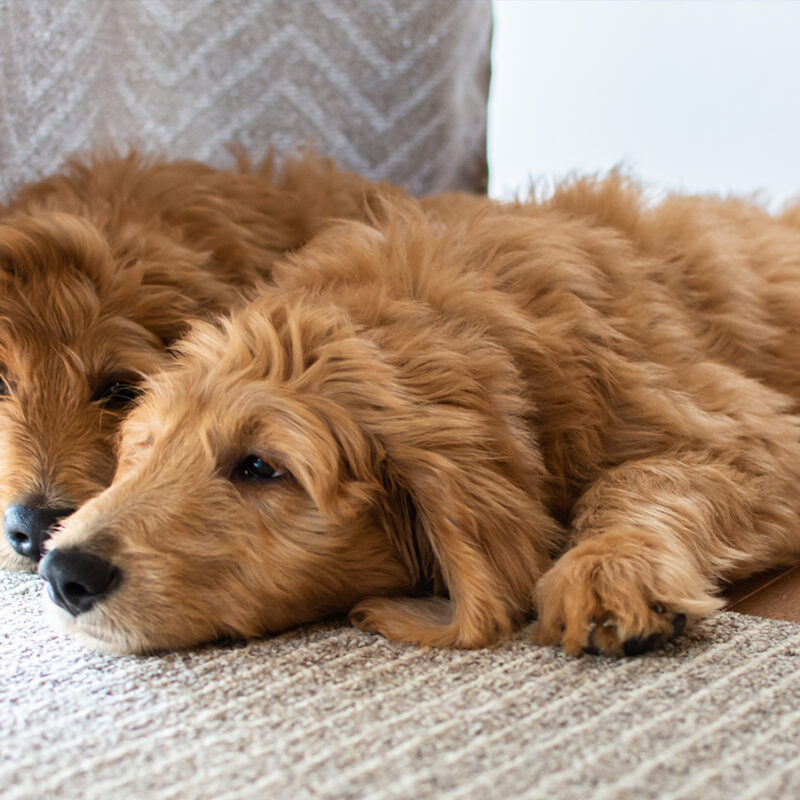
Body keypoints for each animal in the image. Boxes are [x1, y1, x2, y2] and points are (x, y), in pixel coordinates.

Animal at [43, 180, 800, 656]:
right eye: (144, 451)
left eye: (261, 466)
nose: (62, 572)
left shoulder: (757, 436)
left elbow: (639, 481)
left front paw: (611, 569)